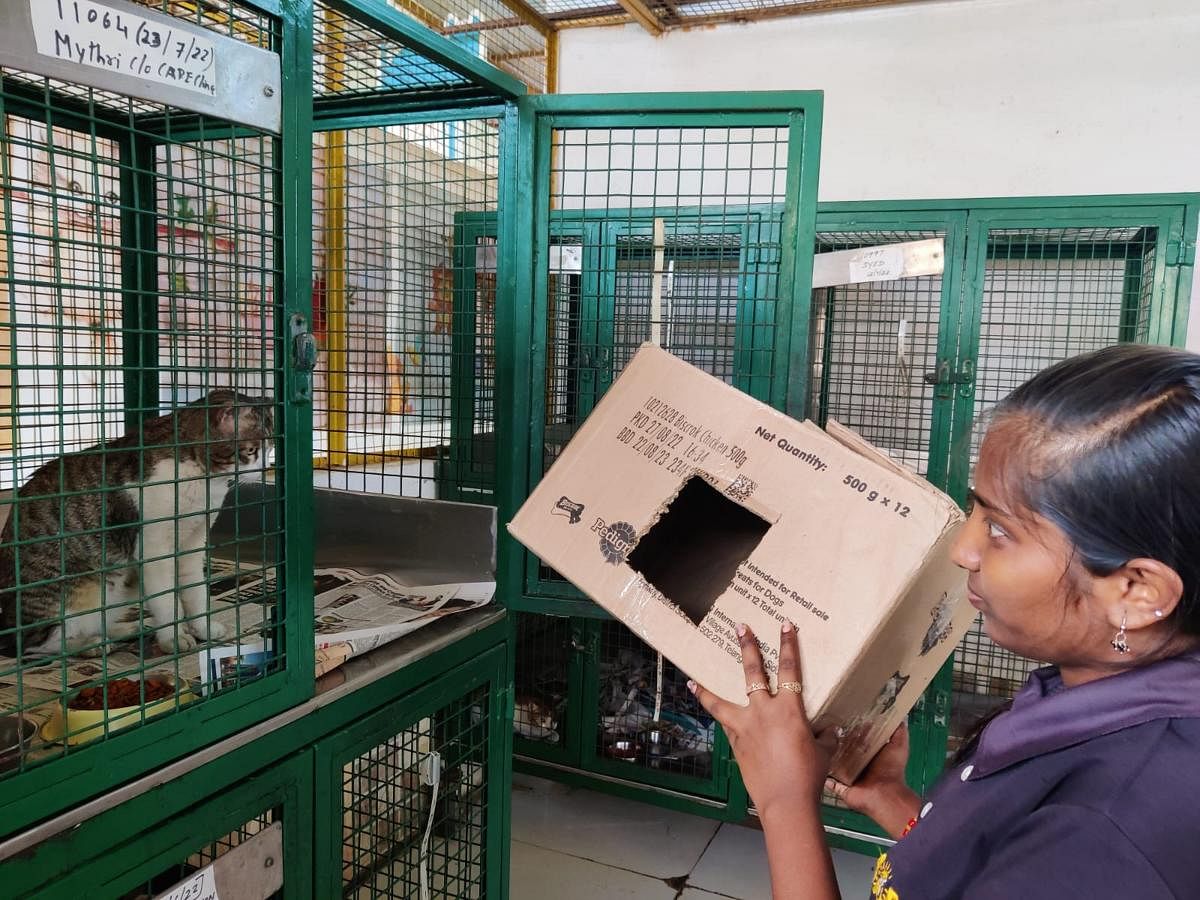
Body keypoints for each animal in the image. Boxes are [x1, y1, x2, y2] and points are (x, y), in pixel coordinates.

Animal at [0, 391, 272, 657]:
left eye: (270, 448)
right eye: (251, 451)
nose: (266, 468)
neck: (203, 479)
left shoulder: (193, 542)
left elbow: (195, 591)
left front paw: (202, 628)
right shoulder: (155, 549)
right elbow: (167, 600)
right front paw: (174, 637)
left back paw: (126, 629)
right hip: (82, 589)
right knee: (38, 645)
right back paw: (92, 644)